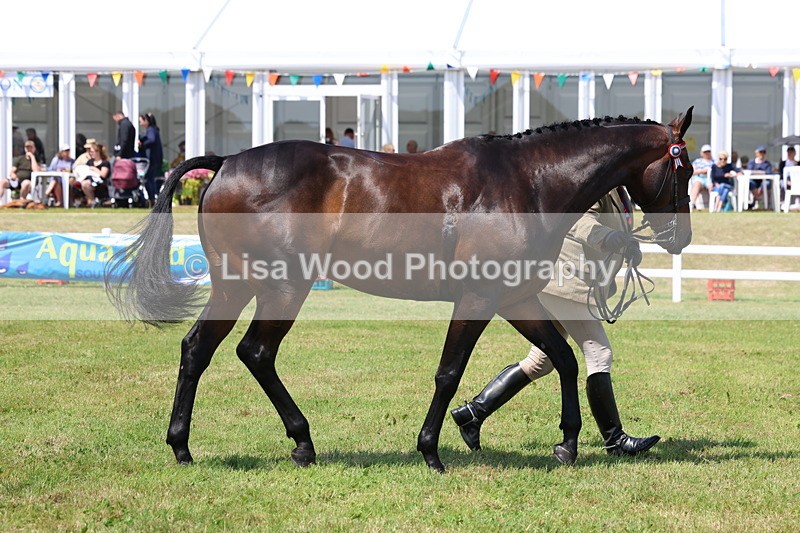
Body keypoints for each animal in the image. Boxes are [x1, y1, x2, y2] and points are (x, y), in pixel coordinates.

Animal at [106, 108, 694, 473]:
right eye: (684, 167)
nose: (680, 237)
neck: (527, 182)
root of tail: (227, 161)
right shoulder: (477, 300)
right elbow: (448, 372)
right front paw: (431, 451)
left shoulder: (515, 299)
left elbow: (565, 360)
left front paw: (566, 443)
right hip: (281, 288)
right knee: (255, 352)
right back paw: (302, 441)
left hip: (236, 287)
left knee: (198, 349)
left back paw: (184, 446)